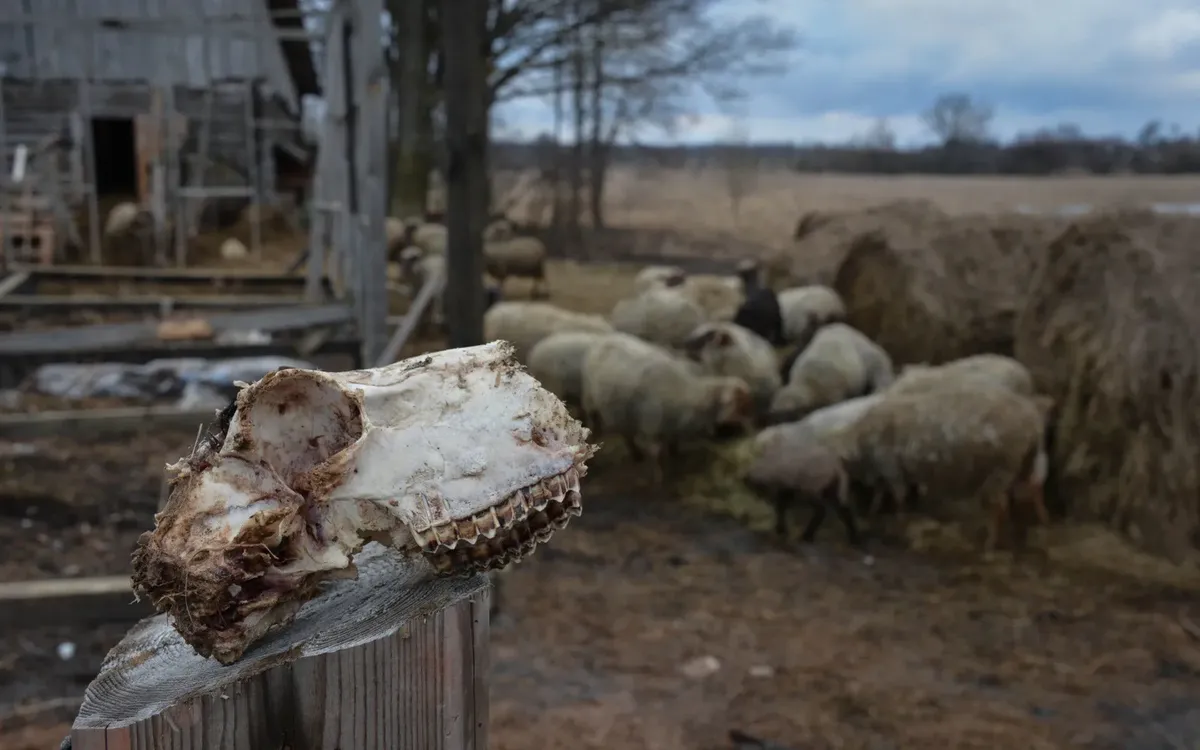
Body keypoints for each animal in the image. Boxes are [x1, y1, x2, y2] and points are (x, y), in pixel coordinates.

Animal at [578, 331, 748, 482]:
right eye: (740, 407)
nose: (744, 433)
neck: (688, 394)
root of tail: (604, 340)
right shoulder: (652, 428)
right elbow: (657, 455)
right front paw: (659, 477)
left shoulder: (671, 426)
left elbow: (673, 443)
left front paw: (674, 456)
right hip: (590, 400)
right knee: (597, 424)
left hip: (621, 411)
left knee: (626, 433)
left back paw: (637, 454)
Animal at [830, 386, 1056, 549]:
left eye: (841, 469)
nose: (842, 500)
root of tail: (1032, 422)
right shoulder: (887, 471)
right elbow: (881, 492)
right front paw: (874, 511)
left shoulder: (891, 467)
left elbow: (898, 497)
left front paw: (899, 523)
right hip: (1024, 462)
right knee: (1032, 489)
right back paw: (1040, 523)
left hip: (1003, 467)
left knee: (1000, 505)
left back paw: (990, 543)